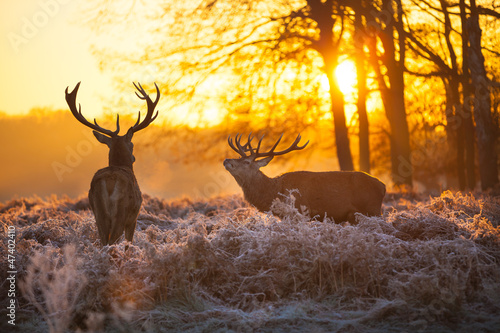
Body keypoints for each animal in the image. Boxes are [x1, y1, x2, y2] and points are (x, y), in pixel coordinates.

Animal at [64, 81, 158, 245]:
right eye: (132, 144)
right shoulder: (133, 218)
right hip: (121, 212)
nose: (133, 158)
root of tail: (108, 182)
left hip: (98, 212)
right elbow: (128, 244)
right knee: (112, 240)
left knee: (103, 241)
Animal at [224, 133, 386, 223]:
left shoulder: (298, 213)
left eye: (247, 162)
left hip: (372, 210)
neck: (274, 192)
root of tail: (383, 186)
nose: (226, 160)